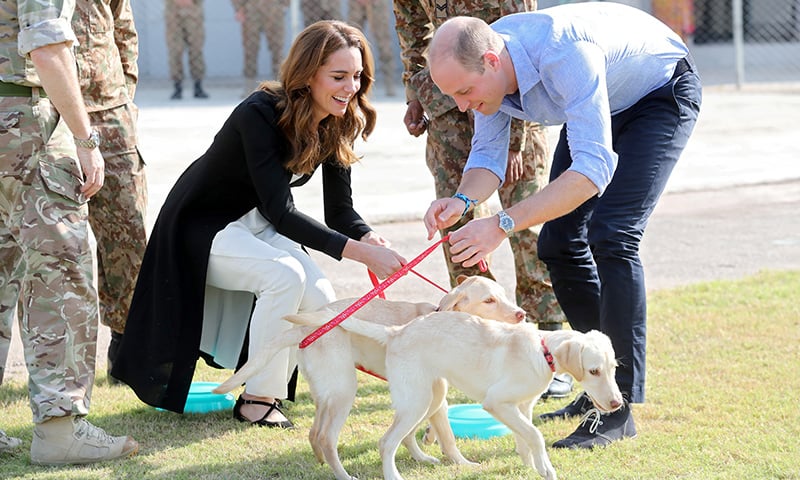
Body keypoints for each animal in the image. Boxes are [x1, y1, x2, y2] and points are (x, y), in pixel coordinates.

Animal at [214, 274, 524, 480]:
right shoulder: (433, 392)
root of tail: (305, 327)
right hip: (345, 391)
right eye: (489, 300)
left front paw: (422, 453)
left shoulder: (428, 392)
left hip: (327, 392)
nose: (521, 314)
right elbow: (446, 436)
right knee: (326, 437)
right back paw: (343, 475)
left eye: (504, 294)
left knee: (314, 433)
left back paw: (322, 464)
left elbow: (414, 432)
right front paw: (462, 463)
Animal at [334, 314, 620, 478]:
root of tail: (395, 332)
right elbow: (535, 435)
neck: (543, 352)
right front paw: (546, 469)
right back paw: (393, 475)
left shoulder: (521, 407)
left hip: (428, 398)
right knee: (386, 442)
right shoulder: (496, 403)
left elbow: (524, 437)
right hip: (417, 401)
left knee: (402, 437)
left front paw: (532, 467)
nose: (617, 404)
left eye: (613, 368)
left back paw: (424, 458)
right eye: (593, 371)